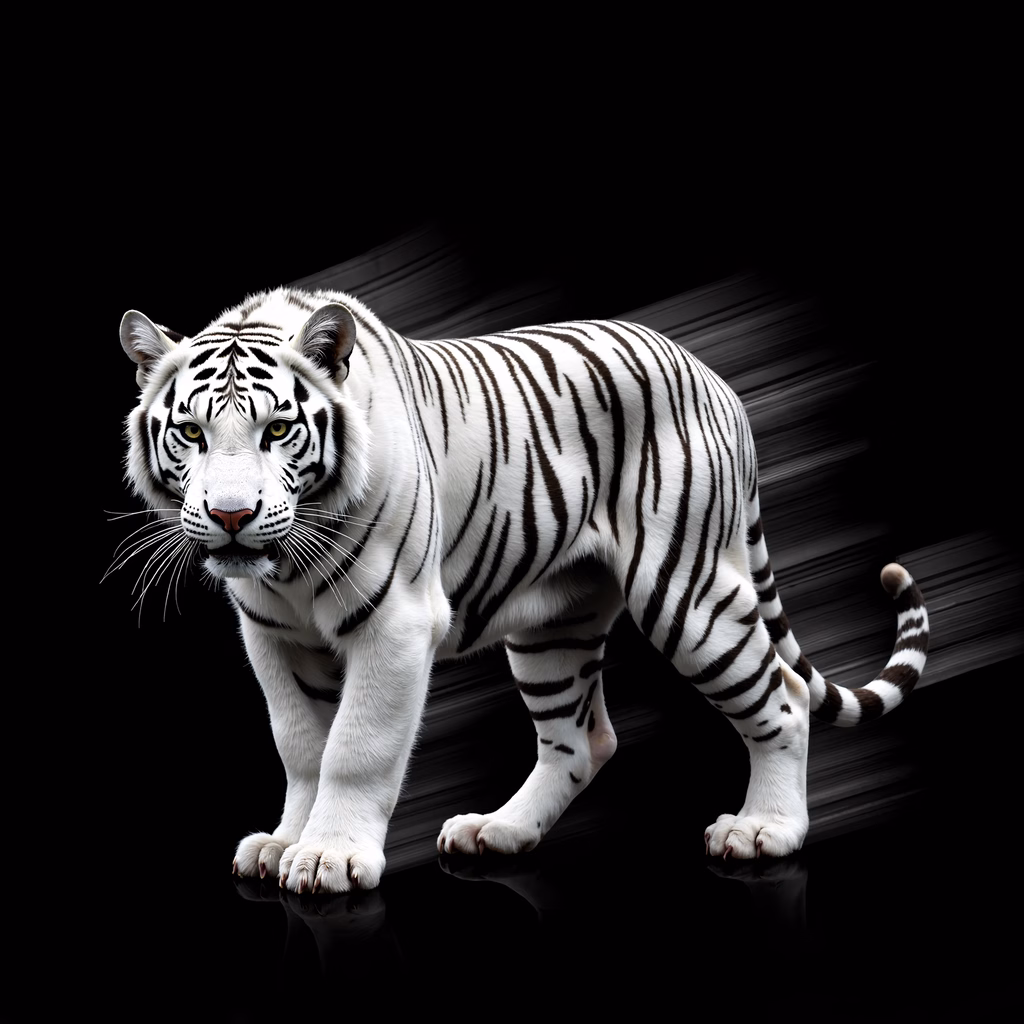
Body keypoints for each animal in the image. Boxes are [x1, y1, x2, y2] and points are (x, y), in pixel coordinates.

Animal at [118, 286, 929, 894]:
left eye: (278, 430)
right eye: (190, 434)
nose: (231, 517)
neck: (288, 568)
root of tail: (709, 372)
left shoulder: (396, 623)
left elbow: (355, 745)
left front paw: (330, 856)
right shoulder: (272, 635)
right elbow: (299, 746)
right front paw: (285, 842)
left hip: (689, 593)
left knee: (781, 698)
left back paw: (766, 829)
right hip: (553, 626)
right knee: (581, 740)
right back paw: (499, 832)